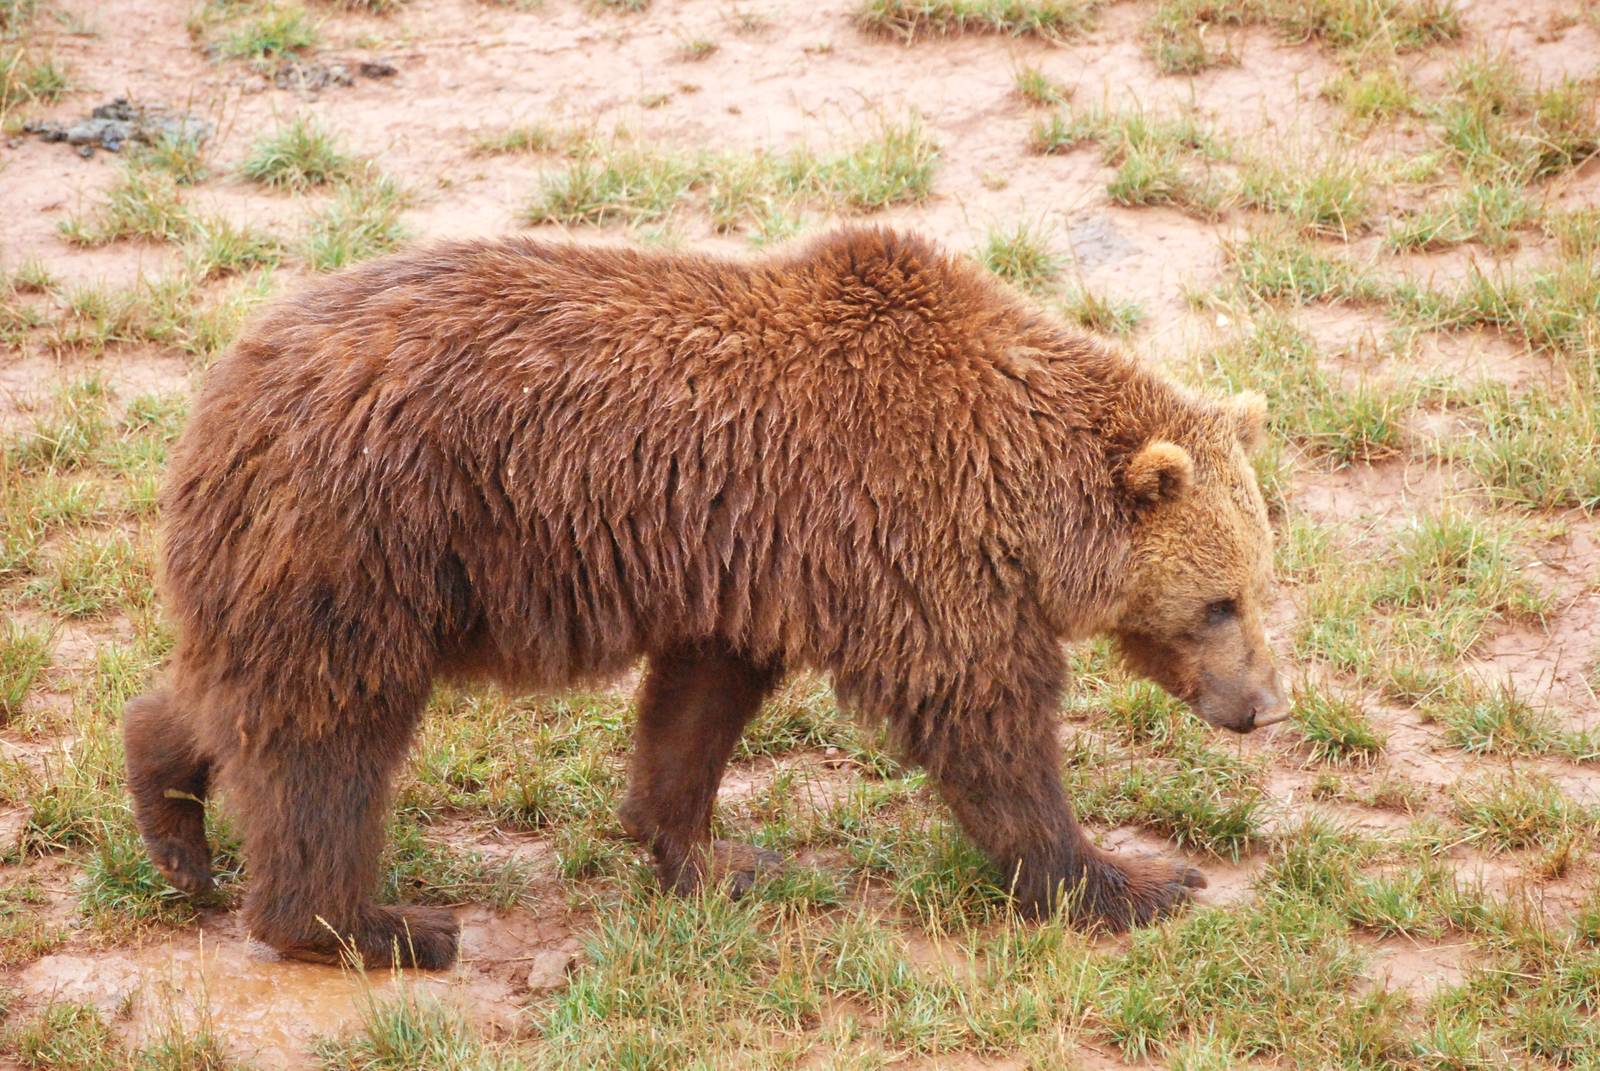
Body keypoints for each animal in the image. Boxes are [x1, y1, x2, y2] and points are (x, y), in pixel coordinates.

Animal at [123, 227, 1287, 970]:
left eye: (1262, 583)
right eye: (1220, 603)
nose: (1265, 703)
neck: (1016, 486)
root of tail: (227, 385)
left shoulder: (752, 557)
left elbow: (697, 705)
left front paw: (716, 855)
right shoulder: (903, 535)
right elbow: (982, 716)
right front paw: (1132, 880)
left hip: (303, 557)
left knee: (236, 689)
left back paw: (175, 824)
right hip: (371, 538)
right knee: (329, 730)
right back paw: (373, 928)